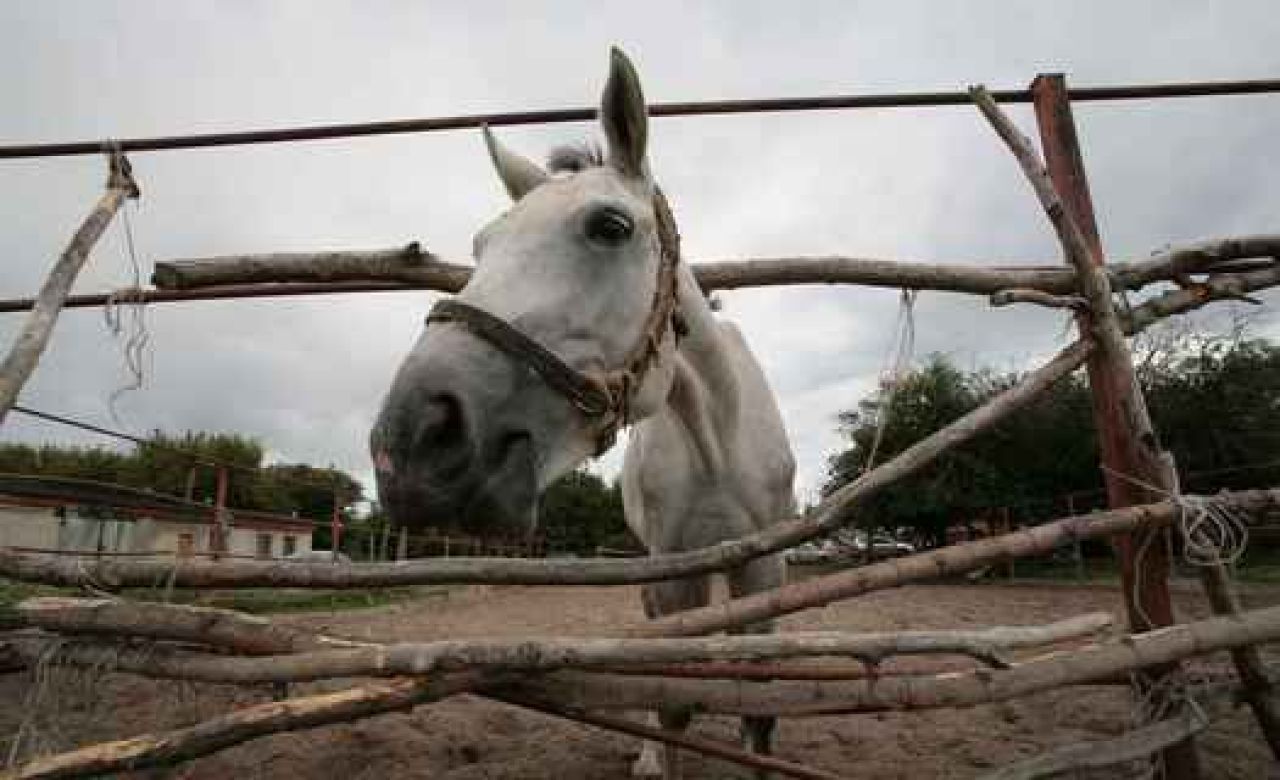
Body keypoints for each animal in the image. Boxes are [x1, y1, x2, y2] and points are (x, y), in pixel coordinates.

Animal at [370, 48, 795, 779]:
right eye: (481, 245)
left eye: (610, 227)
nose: (414, 443)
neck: (715, 437)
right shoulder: (672, 566)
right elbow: (674, 696)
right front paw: (659, 753)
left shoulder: (764, 568)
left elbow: (760, 704)